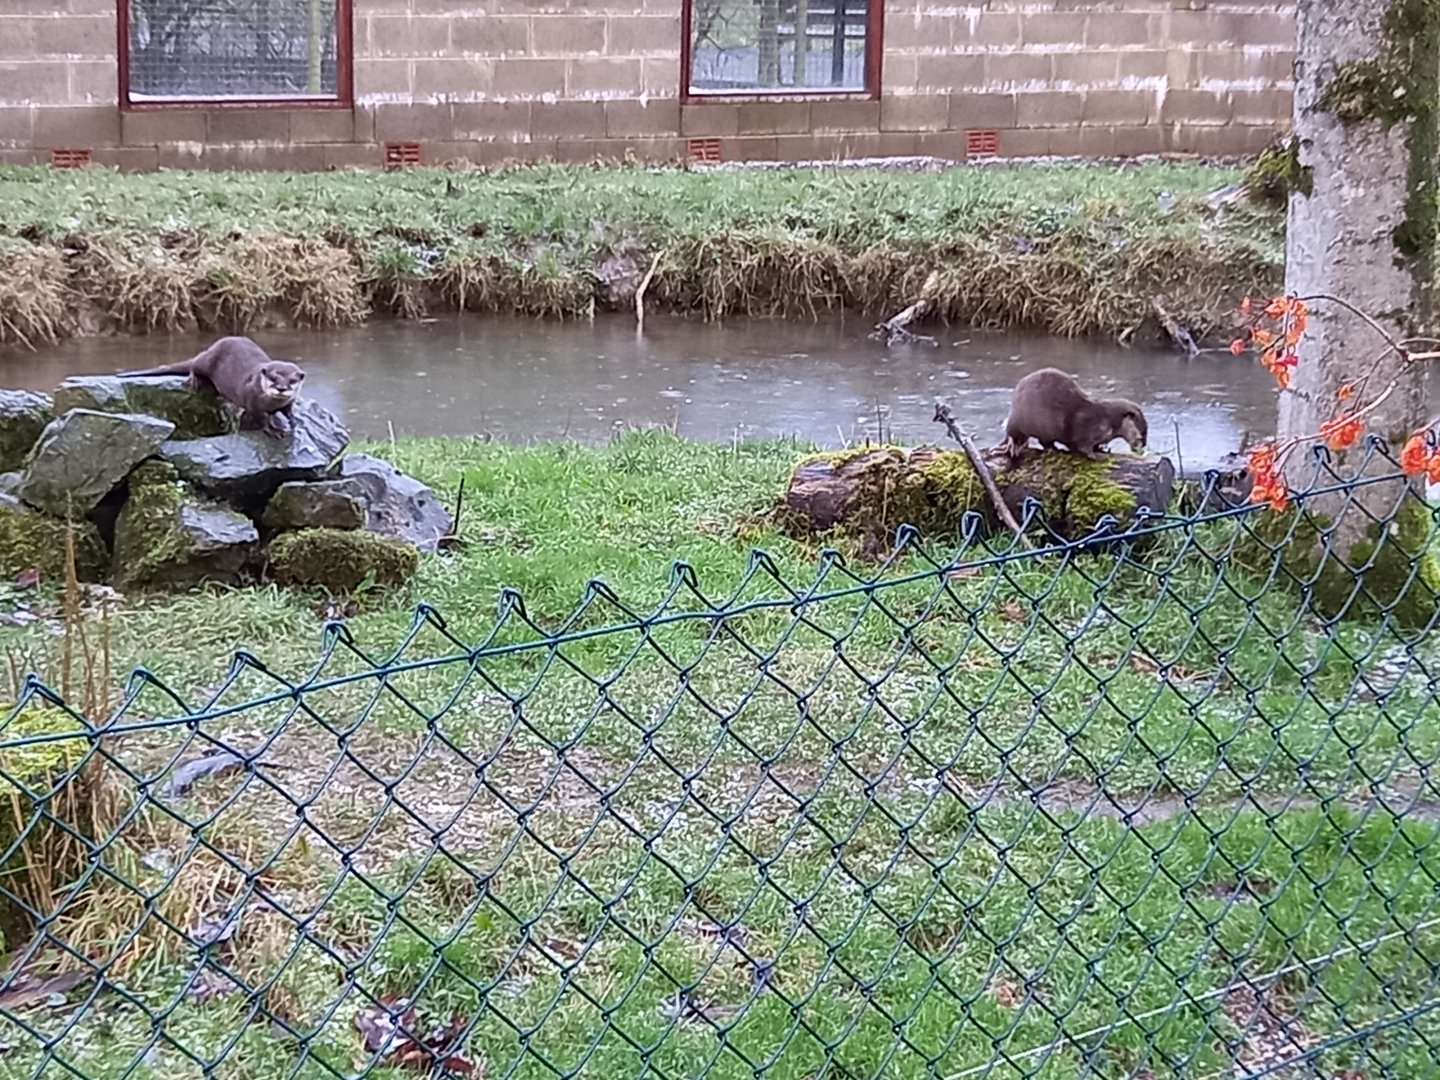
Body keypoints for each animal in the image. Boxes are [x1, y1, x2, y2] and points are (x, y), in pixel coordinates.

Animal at [119, 336, 305, 438]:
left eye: (292, 380)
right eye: (273, 378)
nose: (281, 388)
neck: (271, 404)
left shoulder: (288, 402)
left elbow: (288, 410)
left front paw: (294, 421)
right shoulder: (253, 402)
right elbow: (261, 419)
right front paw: (272, 430)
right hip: (208, 359)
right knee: (195, 362)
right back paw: (194, 379)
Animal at [1002, 368, 1147, 462]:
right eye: (1141, 434)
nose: (1144, 446)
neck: (1107, 420)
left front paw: (1100, 449)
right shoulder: (1086, 426)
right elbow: (1083, 446)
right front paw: (1096, 455)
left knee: (1044, 442)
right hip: (1020, 419)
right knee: (1012, 433)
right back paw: (1013, 446)